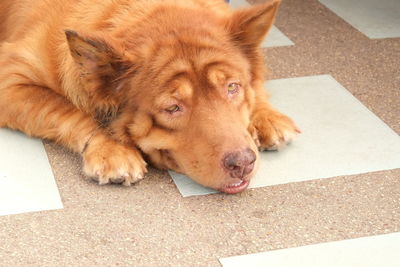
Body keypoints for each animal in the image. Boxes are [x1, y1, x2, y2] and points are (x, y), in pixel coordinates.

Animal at [0, 0, 298, 194]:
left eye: (232, 87)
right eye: (173, 108)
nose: (243, 163)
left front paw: (266, 116)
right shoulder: (9, 79)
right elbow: (67, 110)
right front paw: (113, 149)